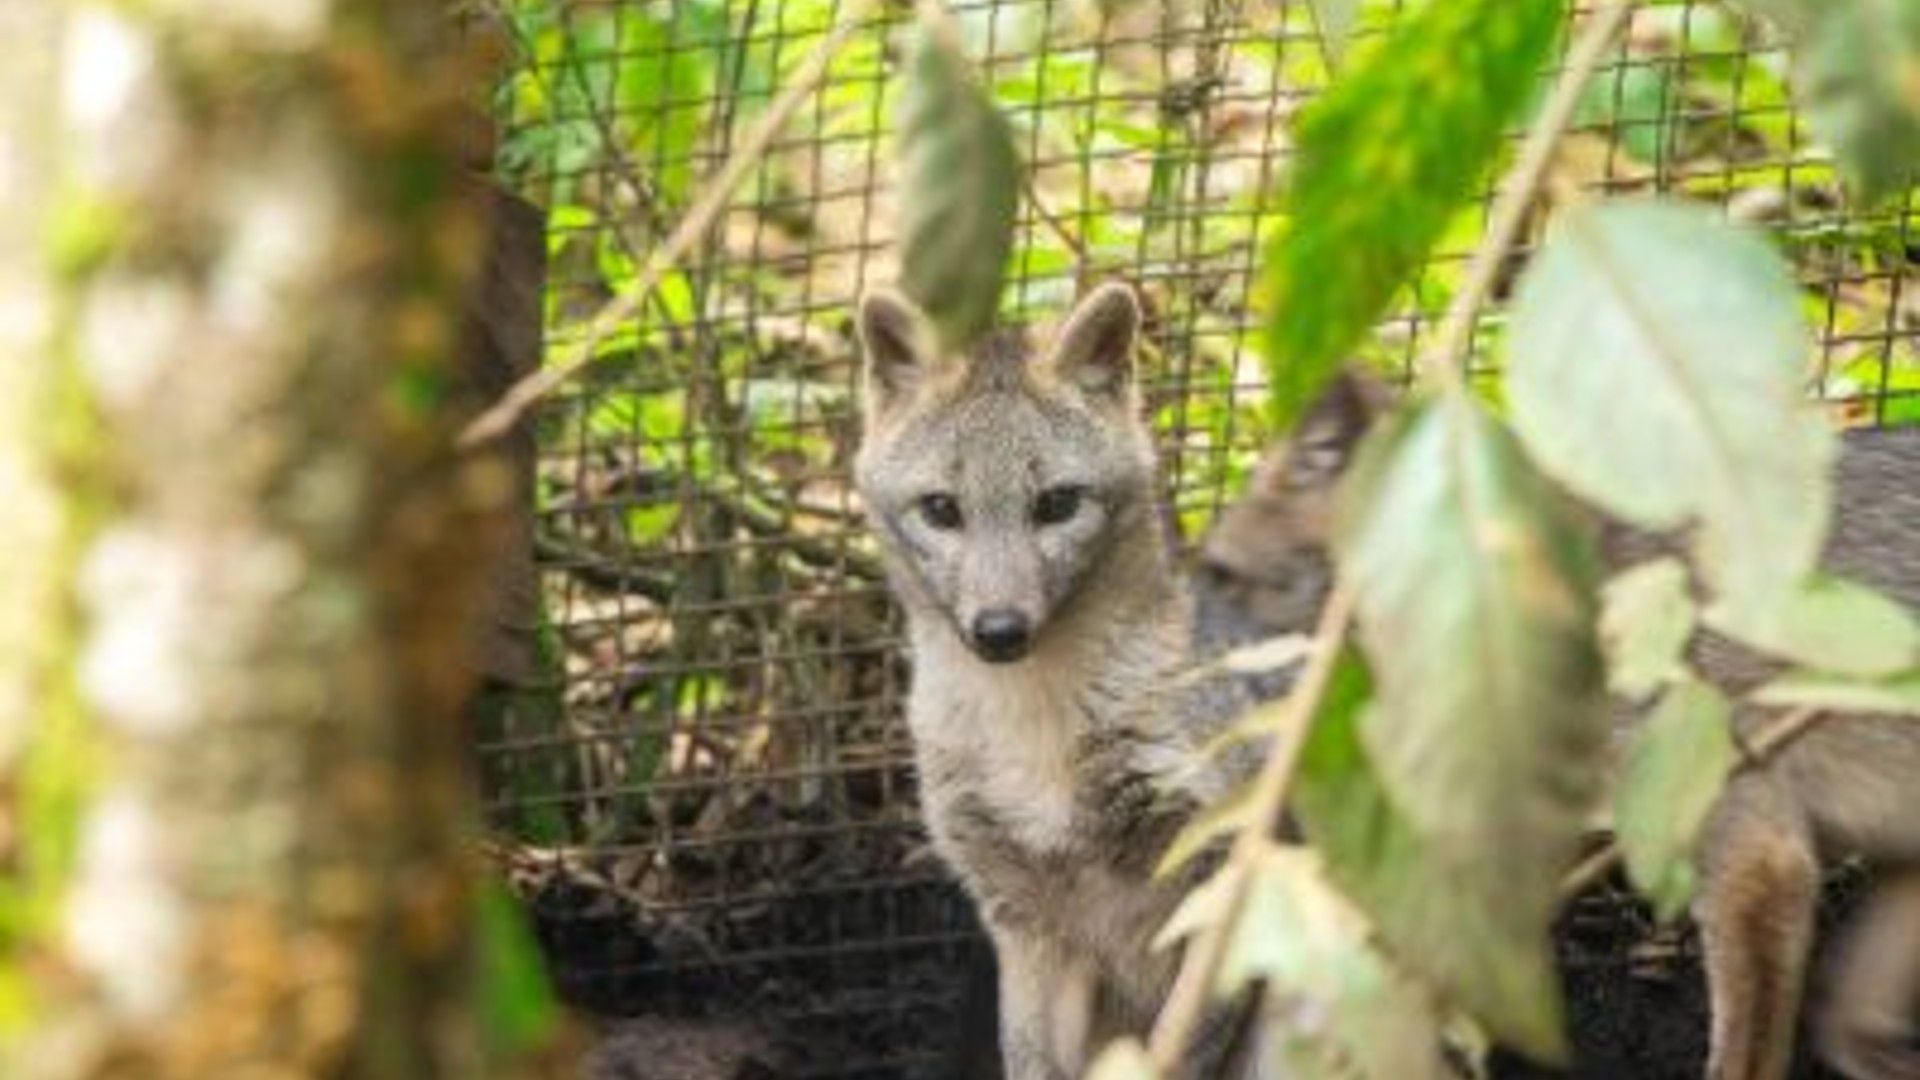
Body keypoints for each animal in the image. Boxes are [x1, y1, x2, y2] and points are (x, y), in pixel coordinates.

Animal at [860, 284, 1290, 1076]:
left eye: (1056, 504)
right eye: (941, 510)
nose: (999, 630)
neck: (1034, 725)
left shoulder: (1219, 893)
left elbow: (1180, 1058)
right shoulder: (1028, 927)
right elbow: (1030, 1058)